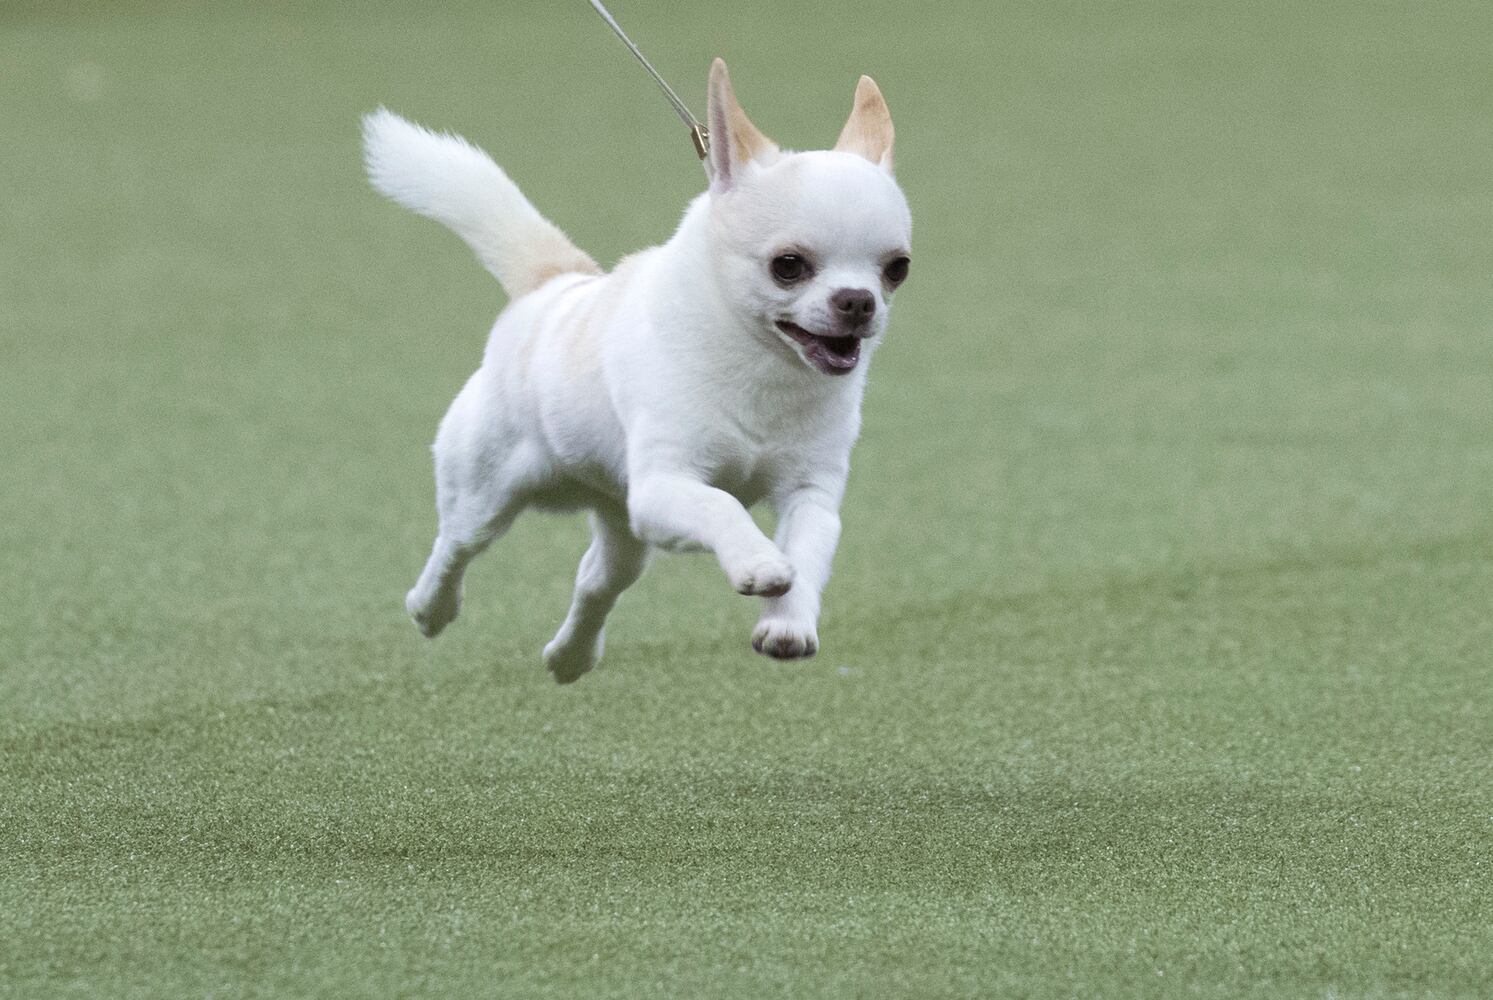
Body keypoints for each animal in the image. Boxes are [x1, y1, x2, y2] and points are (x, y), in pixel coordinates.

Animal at [367, 58, 913, 686]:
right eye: (789, 266)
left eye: (897, 269)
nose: (859, 301)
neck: (765, 371)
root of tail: (555, 283)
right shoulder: (664, 487)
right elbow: (723, 505)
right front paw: (757, 561)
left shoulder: (809, 496)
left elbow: (805, 553)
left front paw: (787, 624)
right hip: (487, 490)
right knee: (455, 545)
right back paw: (431, 607)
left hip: (624, 526)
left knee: (595, 582)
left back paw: (571, 657)